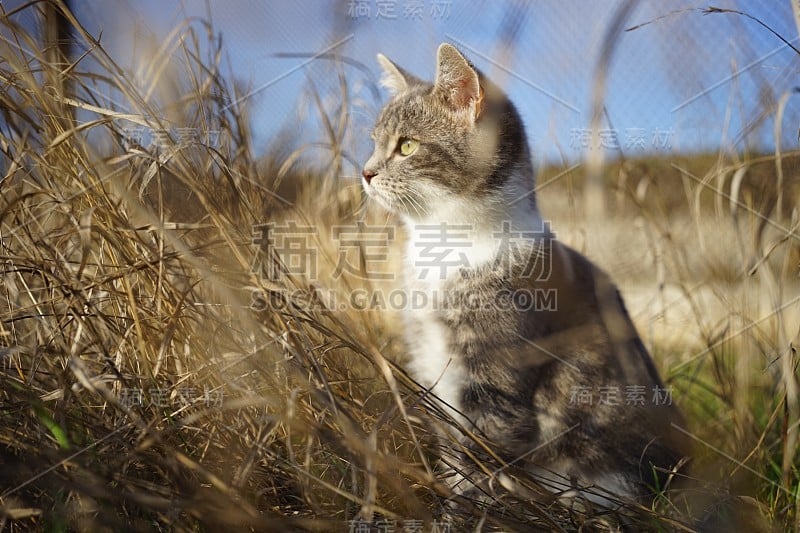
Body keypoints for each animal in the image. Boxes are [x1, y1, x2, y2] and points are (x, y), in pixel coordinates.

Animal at [360, 43, 680, 504]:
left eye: (406, 146)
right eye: (374, 143)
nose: (365, 172)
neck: (446, 247)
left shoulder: (496, 381)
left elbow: (481, 464)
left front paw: (466, 510)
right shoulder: (431, 364)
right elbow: (453, 452)